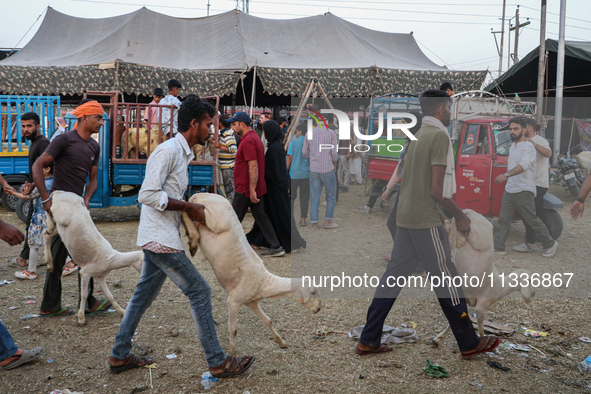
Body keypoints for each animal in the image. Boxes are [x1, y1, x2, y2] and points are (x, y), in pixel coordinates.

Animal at [43, 189, 143, 324]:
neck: (112, 258)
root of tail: (59, 192)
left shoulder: (100, 276)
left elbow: (110, 295)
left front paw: (122, 311)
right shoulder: (86, 272)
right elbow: (84, 294)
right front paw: (81, 318)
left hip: (59, 227)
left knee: (46, 235)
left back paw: (50, 262)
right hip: (60, 215)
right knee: (47, 210)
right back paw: (48, 224)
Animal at [182, 192, 324, 356]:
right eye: (313, 292)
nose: (319, 309)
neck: (264, 282)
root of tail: (202, 194)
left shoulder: (251, 301)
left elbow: (268, 320)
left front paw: (281, 342)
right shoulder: (234, 301)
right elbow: (233, 329)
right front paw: (232, 352)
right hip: (216, 218)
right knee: (187, 208)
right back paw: (193, 239)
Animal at [432, 211, 536, 346]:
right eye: (531, 280)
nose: (533, 294)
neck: (501, 286)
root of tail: (474, 213)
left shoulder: (466, 299)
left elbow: (457, 319)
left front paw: (438, 339)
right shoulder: (482, 305)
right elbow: (481, 326)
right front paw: (485, 343)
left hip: (465, 239)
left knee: (454, 239)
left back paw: (447, 221)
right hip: (480, 238)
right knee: (459, 235)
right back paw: (449, 219)